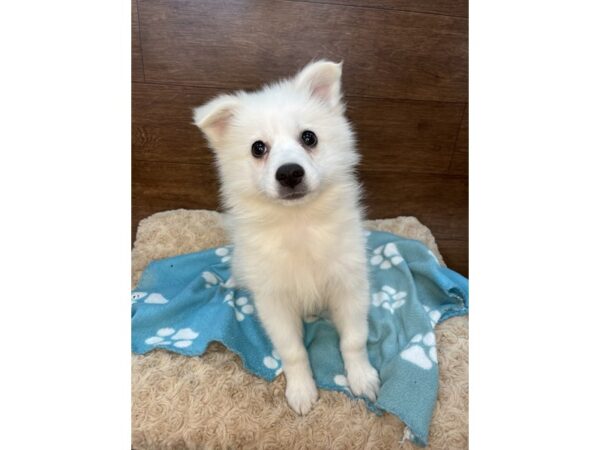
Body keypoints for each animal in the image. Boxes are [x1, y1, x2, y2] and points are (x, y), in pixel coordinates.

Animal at [193, 59, 380, 414]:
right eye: (258, 148)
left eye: (309, 137)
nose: (290, 172)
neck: (299, 222)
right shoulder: (273, 299)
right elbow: (292, 351)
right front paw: (302, 391)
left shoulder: (349, 283)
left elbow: (354, 339)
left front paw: (362, 377)